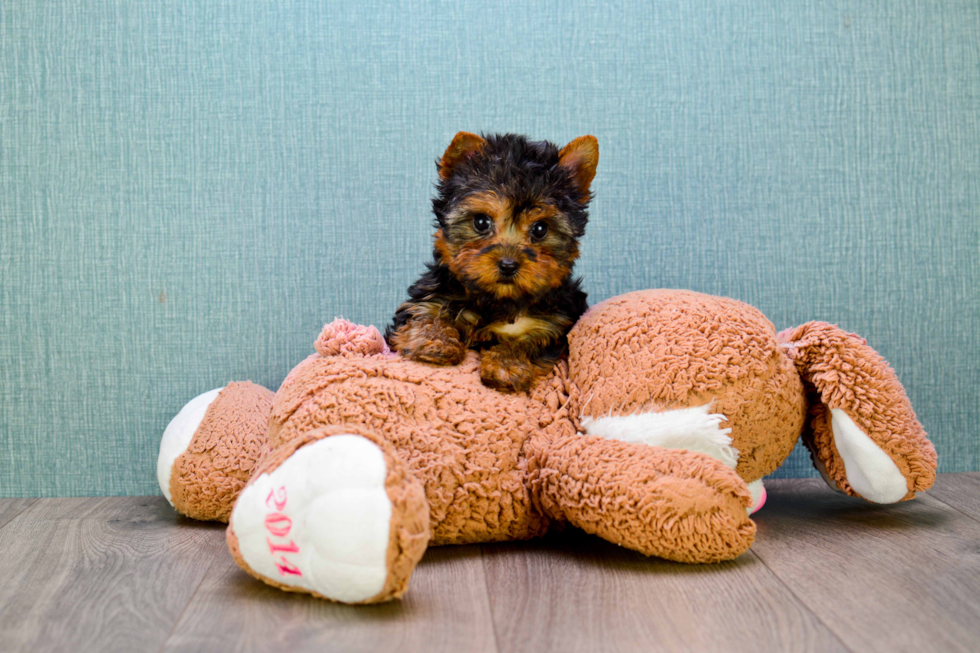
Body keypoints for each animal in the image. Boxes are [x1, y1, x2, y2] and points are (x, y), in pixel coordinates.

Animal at [386, 130, 600, 390]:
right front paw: (435, 342)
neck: (496, 300)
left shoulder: (553, 323)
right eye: (481, 222)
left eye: (540, 229)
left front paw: (506, 366)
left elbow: (531, 341)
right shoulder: (429, 296)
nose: (508, 265)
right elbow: (424, 314)